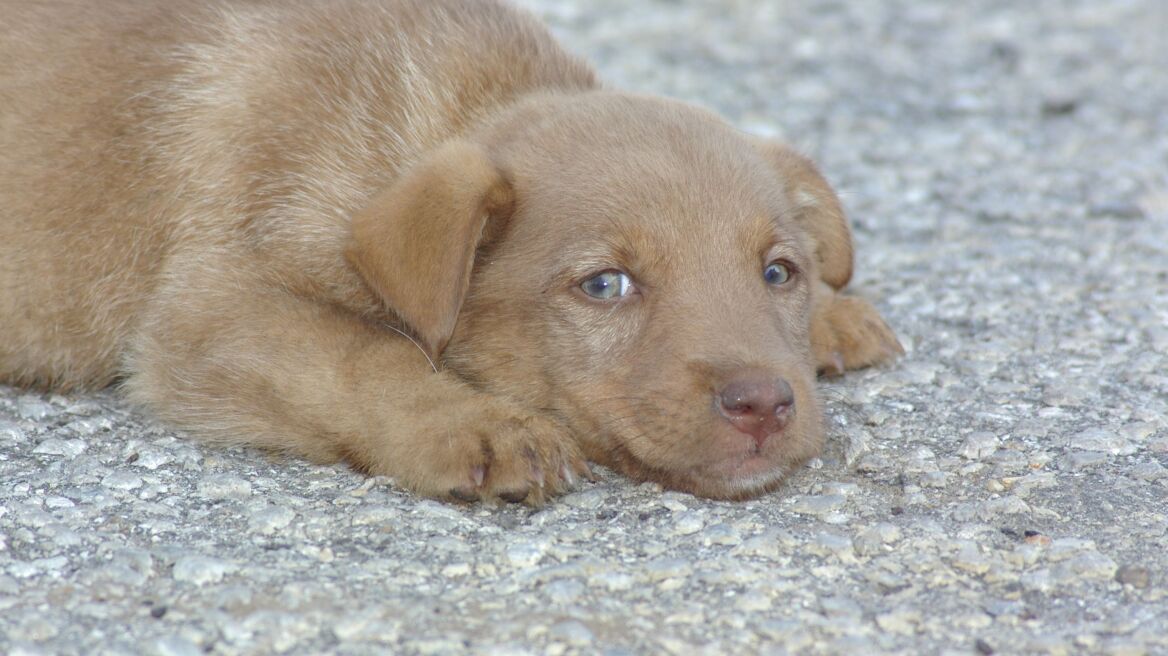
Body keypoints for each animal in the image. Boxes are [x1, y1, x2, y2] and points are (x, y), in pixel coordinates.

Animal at [0, 0, 901, 499]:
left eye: (779, 273)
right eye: (604, 285)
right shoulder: (210, 316)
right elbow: (366, 354)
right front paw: (478, 425)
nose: (764, 405)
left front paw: (832, 314)